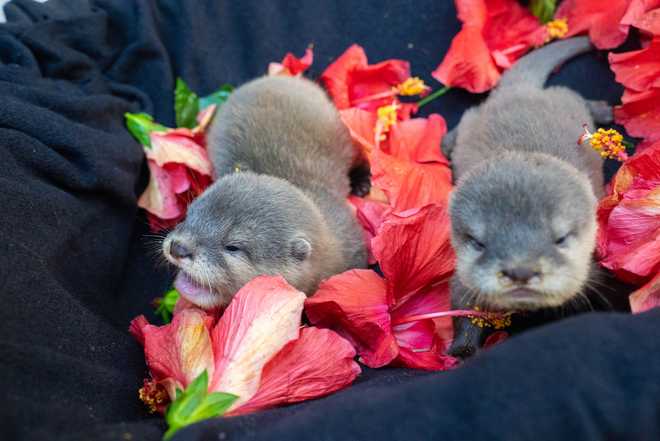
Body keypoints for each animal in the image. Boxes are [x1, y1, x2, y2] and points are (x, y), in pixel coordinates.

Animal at [444, 37, 613, 356]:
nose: (520, 270)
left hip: (565, 100)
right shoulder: (462, 280)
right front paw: (462, 351)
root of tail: (520, 89)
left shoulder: (592, 271)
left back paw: (603, 110)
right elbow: (463, 310)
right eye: (479, 243)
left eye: (560, 238)